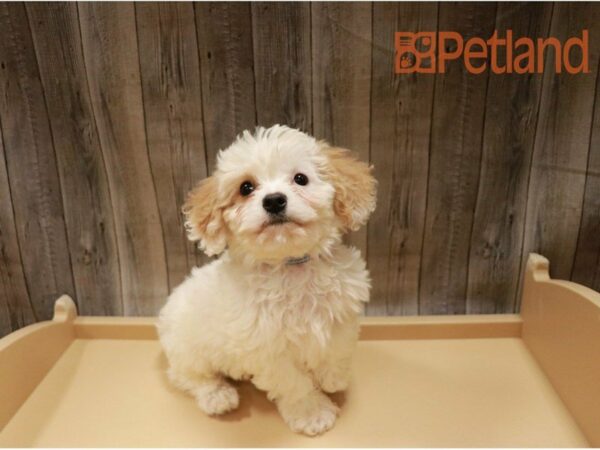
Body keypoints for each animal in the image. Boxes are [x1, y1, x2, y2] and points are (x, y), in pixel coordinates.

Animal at [158, 124, 376, 436]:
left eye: (300, 179)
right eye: (246, 188)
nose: (274, 200)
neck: (290, 265)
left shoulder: (341, 315)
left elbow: (338, 348)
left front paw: (333, 377)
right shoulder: (267, 349)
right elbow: (294, 383)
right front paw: (312, 413)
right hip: (188, 349)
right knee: (187, 376)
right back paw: (217, 396)